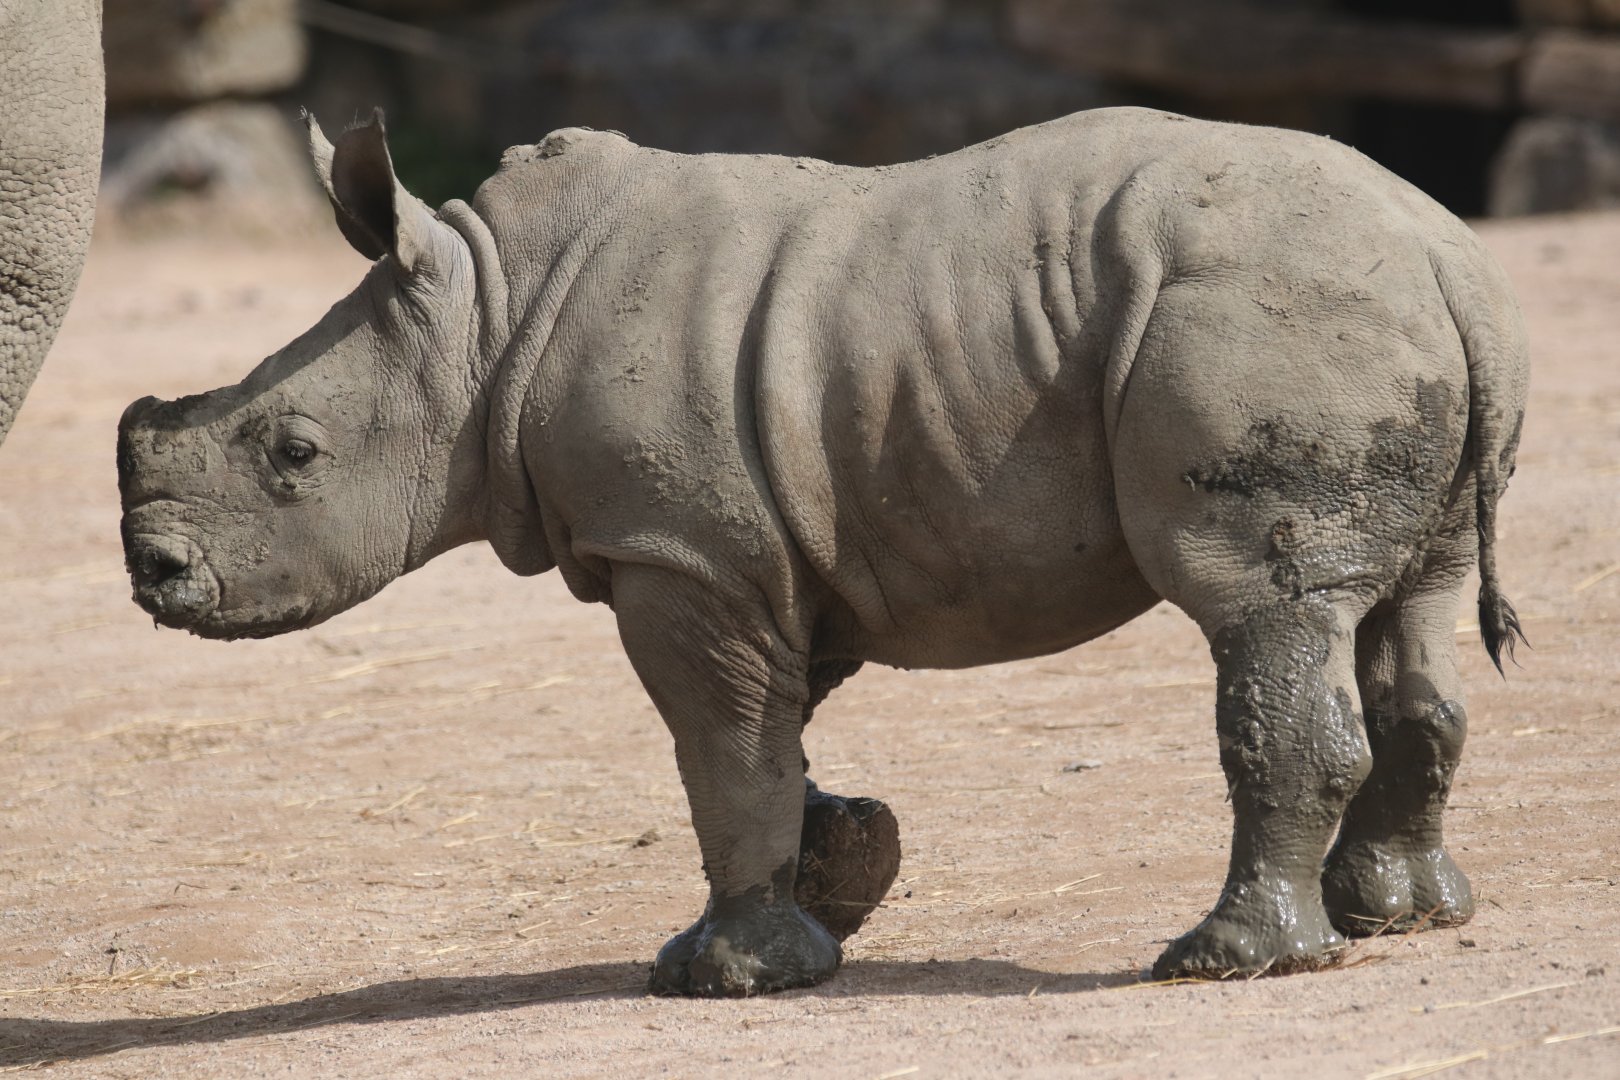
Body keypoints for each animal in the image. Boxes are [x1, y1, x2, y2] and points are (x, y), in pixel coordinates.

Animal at [117, 106, 1528, 996]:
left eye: (293, 453)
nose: (155, 577)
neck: (484, 315)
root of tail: (1450, 254)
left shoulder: (681, 550)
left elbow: (719, 747)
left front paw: (725, 975)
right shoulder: (786, 543)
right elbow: (773, 734)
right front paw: (847, 877)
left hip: (1264, 320)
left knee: (1260, 606)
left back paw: (1226, 960)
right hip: (1377, 328)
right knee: (1407, 609)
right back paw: (1398, 914)